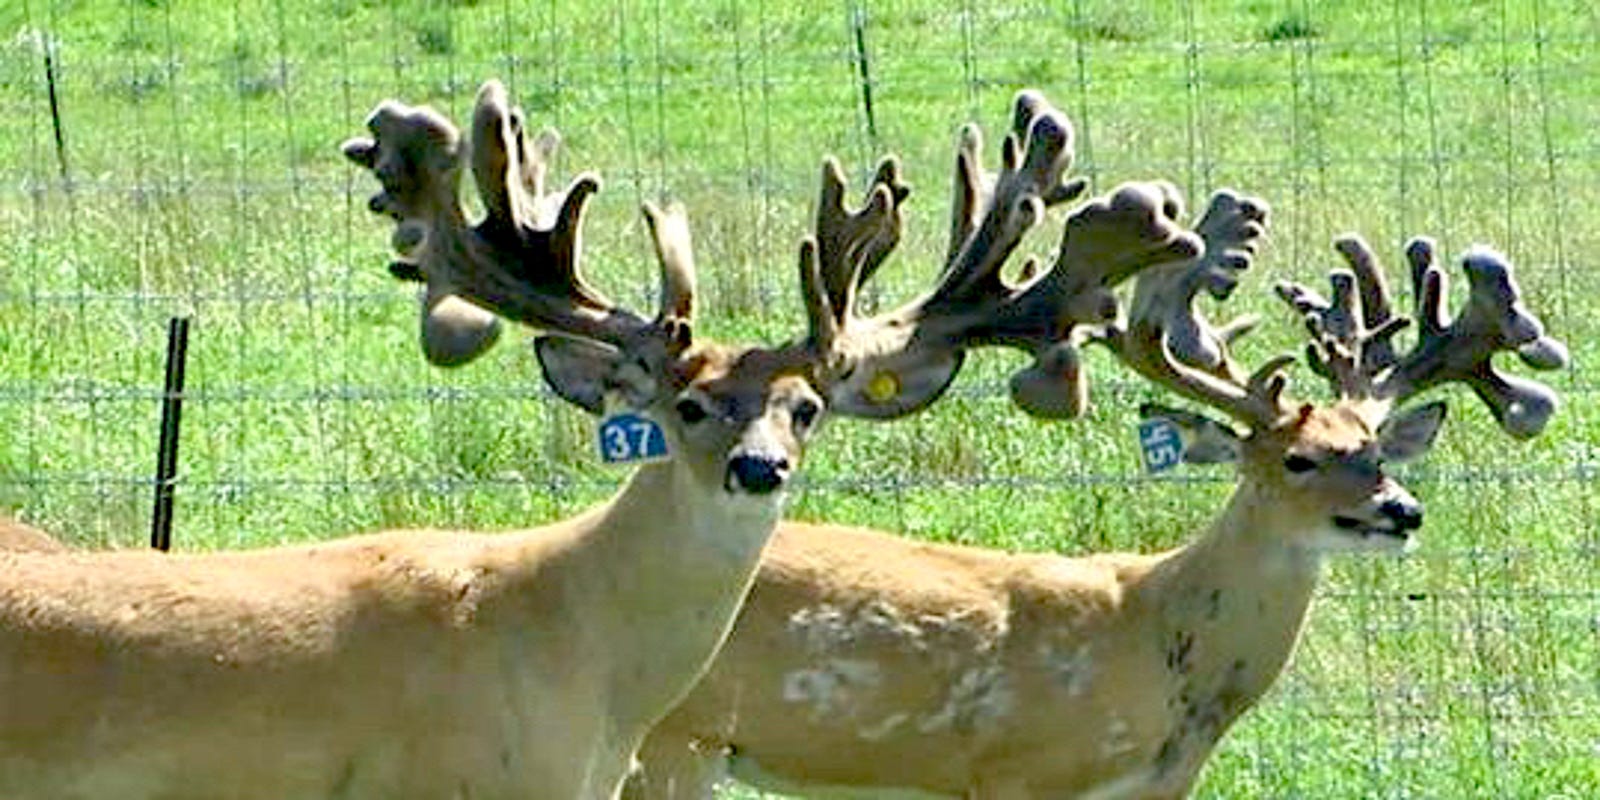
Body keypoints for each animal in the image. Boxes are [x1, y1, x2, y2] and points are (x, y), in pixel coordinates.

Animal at [623, 210, 1569, 799]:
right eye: (1298, 459)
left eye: (1374, 448)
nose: (1401, 510)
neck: (1156, 638)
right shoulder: (1018, 769)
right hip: (670, 738)